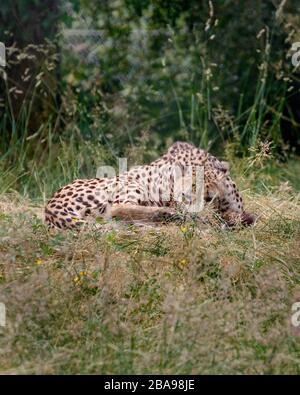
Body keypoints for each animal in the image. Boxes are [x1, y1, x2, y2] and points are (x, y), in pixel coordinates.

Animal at [45, 142, 255, 229]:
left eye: (208, 197)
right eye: (186, 195)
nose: (192, 210)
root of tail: (49, 207)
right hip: (129, 183)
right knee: (117, 209)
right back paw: (165, 214)